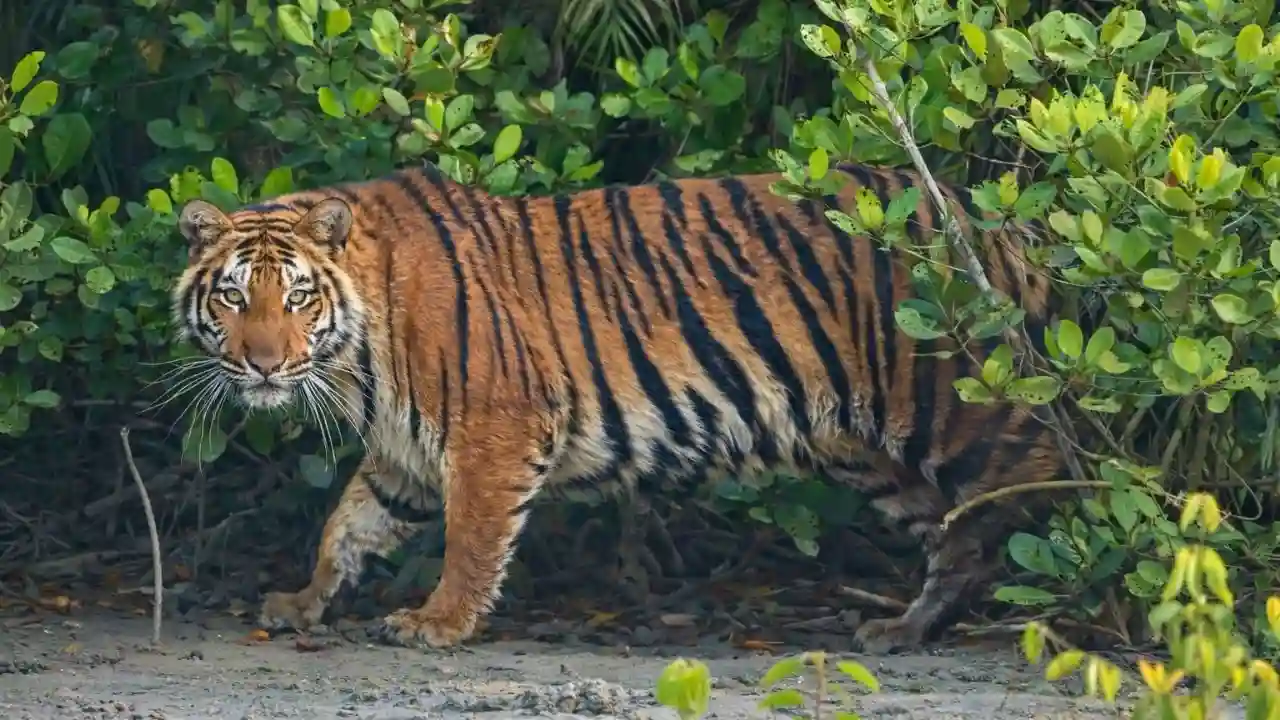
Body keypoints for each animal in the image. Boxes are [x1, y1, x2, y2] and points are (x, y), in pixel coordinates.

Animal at [169, 160, 1065, 653]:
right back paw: (907, 629)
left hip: (961, 405)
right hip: (869, 449)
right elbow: (346, 526)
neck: (357, 353)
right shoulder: (405, 455)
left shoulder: (496, 428)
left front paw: (440, 623)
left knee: (1047, 474)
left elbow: (472, 542)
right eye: (234, 296)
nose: (263, 363)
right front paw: (302, 603)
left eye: (297, 297)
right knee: (958, 537)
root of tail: (992, 220)